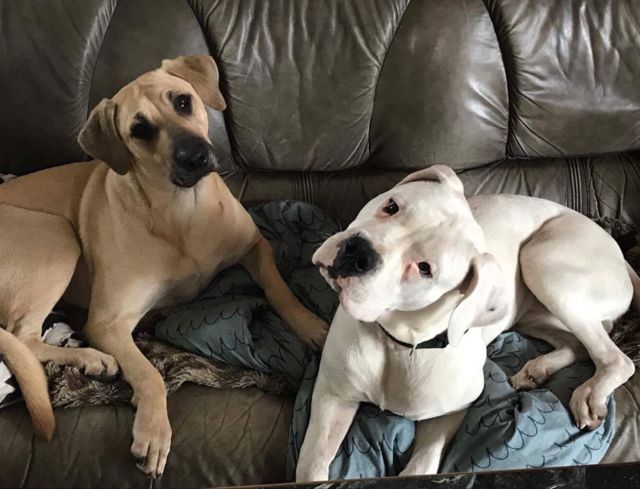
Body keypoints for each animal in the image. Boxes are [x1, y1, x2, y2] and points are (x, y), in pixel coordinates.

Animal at [0, 55, 328, 478]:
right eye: (140, 130)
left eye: (183, 101)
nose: (195, 156)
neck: (183, 211)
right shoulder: (107, 323)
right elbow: (149, 374)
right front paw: (154, 431)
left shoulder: (256, 247)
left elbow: (280, 290)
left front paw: (310, 325)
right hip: (55, 235)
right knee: (23, 336)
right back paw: (92, 359)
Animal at [296, 165, 639, 480]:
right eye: (391, 206)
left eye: (424, 268)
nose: (358, 252)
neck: (397, 345)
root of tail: (621, 256)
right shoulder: (333, 395)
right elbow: (311, 466)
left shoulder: (449, 414)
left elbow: (422, 466)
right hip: (532, 309)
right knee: (578, 344)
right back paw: (536, 370)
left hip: (543, 261)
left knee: (615, 358)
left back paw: (589, 394)